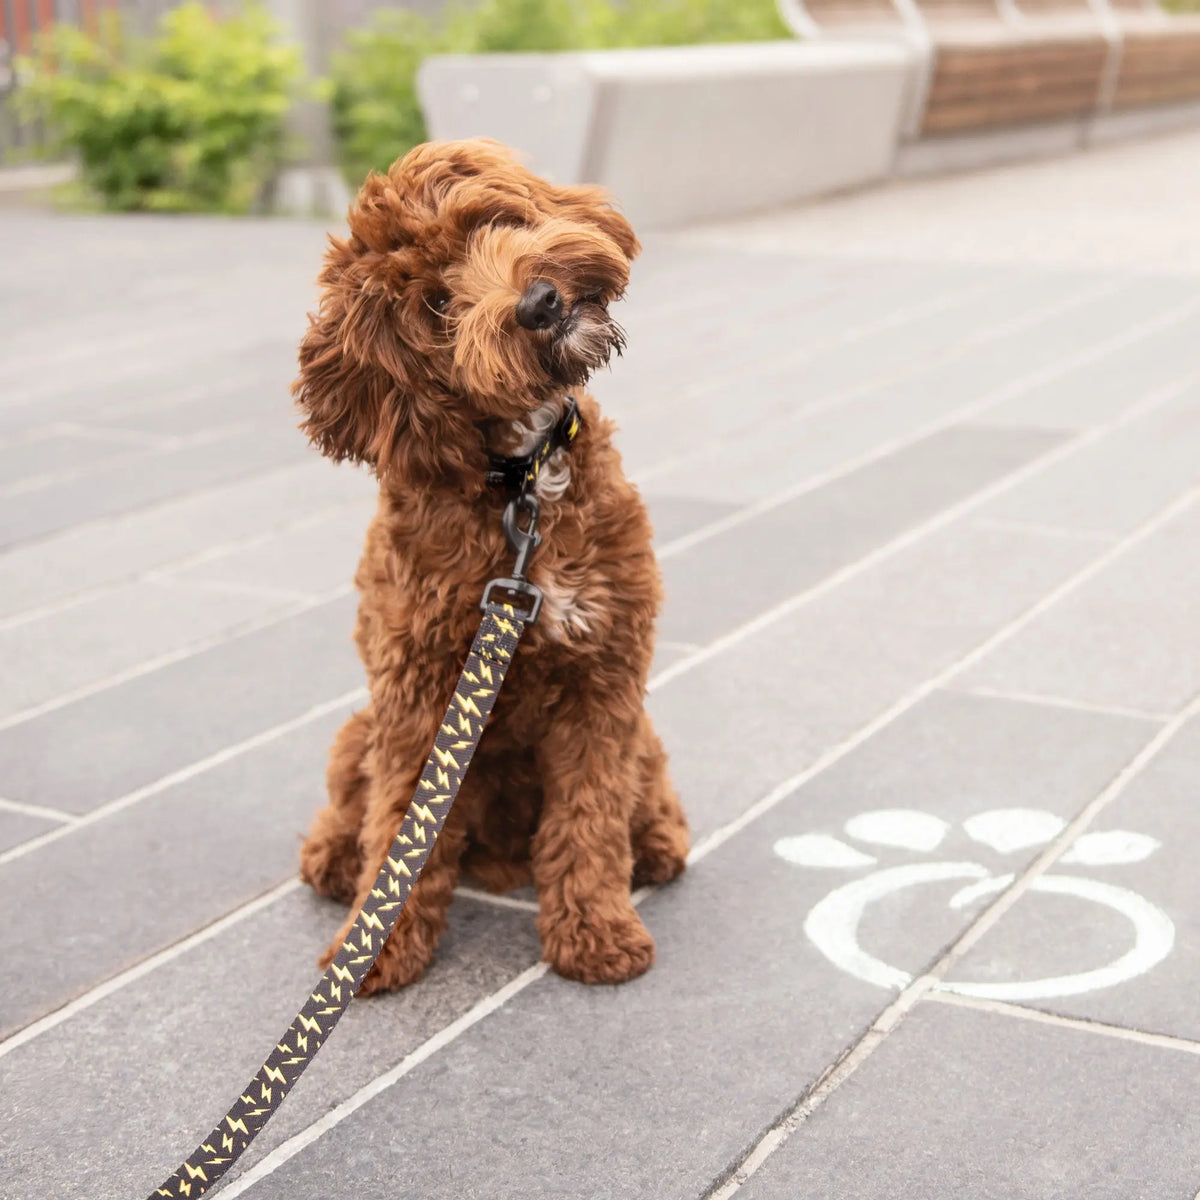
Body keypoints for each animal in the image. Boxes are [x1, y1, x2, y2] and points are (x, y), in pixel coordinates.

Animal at [295, 138, 691, 993]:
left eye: (490, 223)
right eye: (438, 305)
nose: (539, 303)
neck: (524, 483)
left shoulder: (603, 680)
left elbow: (590, 816)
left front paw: (596, 933)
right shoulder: (417, 698)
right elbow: (401, 828)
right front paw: (376, 946)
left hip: (641, 730)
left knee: (639, 795)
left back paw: (657, 841)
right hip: (358, 727)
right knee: (351, 807)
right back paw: (333, 859)